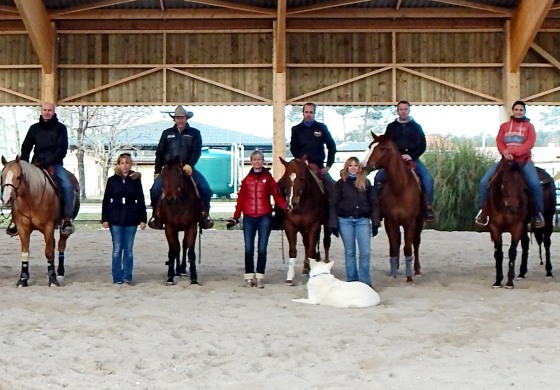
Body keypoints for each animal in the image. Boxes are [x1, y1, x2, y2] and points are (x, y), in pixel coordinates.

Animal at [0, 155, 80, 286]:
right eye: (2, 176)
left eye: (18, 177)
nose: (7, 199)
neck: (31, 199)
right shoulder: (23, 229)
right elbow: (25, 252)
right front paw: (23, 279)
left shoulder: (48, 227)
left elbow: (49, 252)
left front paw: (53, 279)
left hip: (64, 227)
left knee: (61, 245)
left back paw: (60, 273)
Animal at [364, 133, 424, 282]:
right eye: (370, 146)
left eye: (382, 148)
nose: (363, 165)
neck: (400, 187)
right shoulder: (390, 221)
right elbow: (393, 247)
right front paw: (393, 274)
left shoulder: (410, 222)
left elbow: (408, 248)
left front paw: (409, 277)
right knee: (397, 243)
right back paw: (395, 267)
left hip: (420, 221)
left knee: (416, 242)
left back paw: (417, 269)